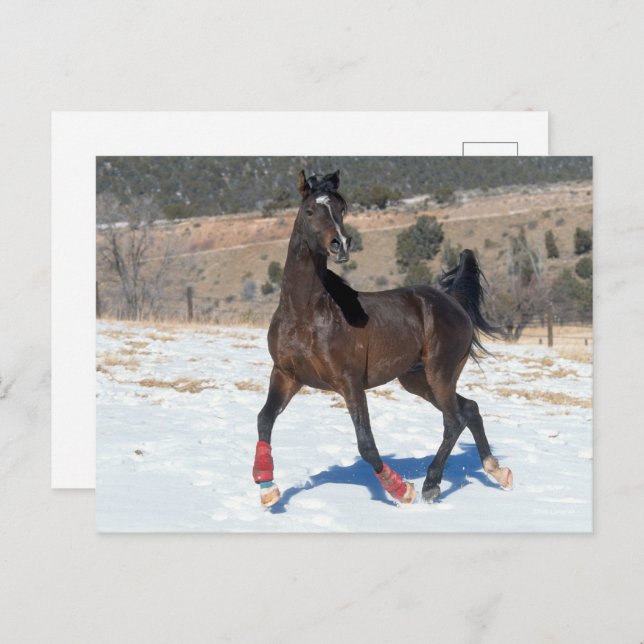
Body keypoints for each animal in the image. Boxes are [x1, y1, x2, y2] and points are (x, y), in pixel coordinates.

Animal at [252, 170, 513, 508]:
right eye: (309, 210)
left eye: (341, 209)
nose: (340, 244)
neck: (305, 314)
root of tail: (452, 302)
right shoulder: (286, 375)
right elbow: (264, 419)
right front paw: (267, 488)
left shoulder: (349, 382)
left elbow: (366, 444)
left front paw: (401, 490)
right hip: (416, 379)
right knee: (469, 409)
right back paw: (497, 471)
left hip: (440, 372)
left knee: (453, 420)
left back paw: (430, 484)